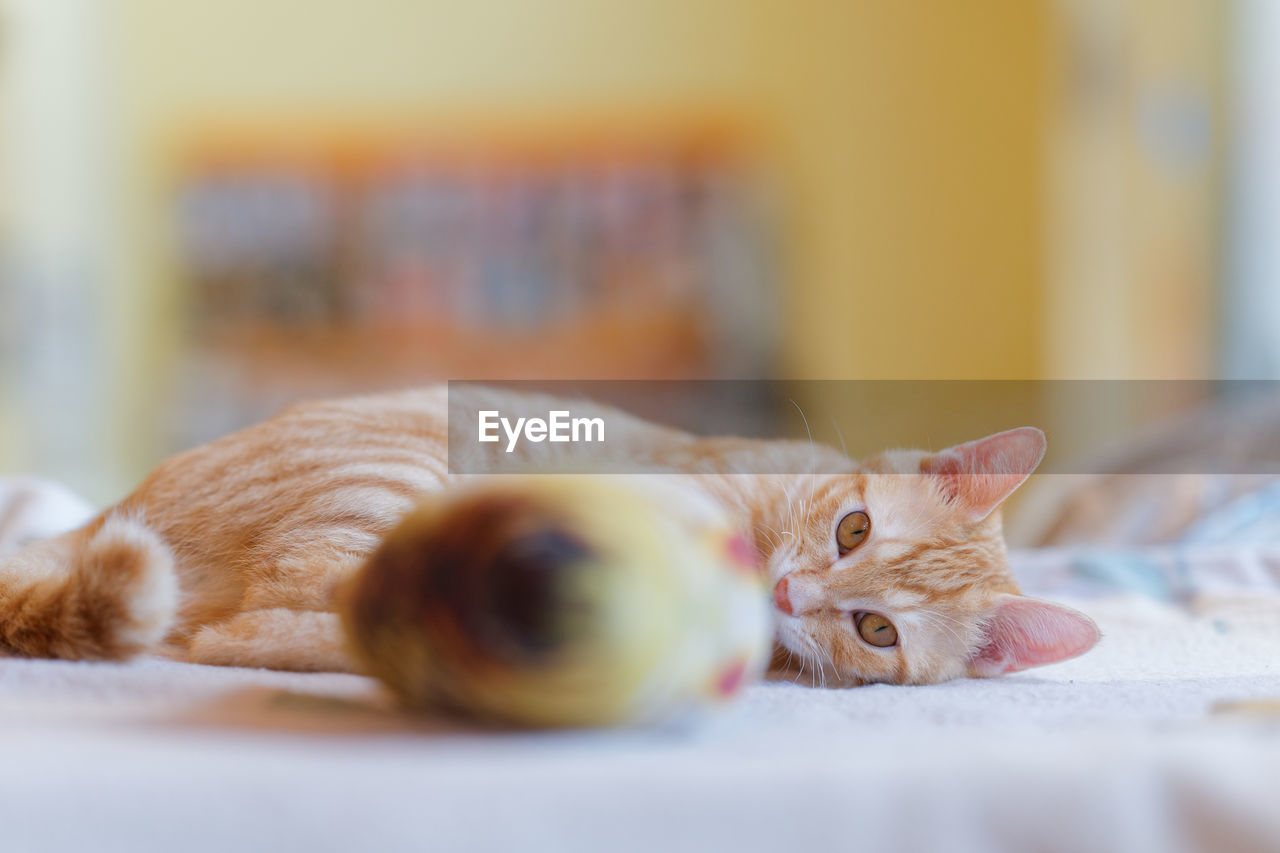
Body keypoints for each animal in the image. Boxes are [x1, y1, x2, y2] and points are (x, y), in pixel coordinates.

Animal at [0, 384, 1100, 686]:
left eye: (877, 628)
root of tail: (110, 511)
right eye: (852, 526)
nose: (790, 597)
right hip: (395, 481)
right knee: (249, 632)